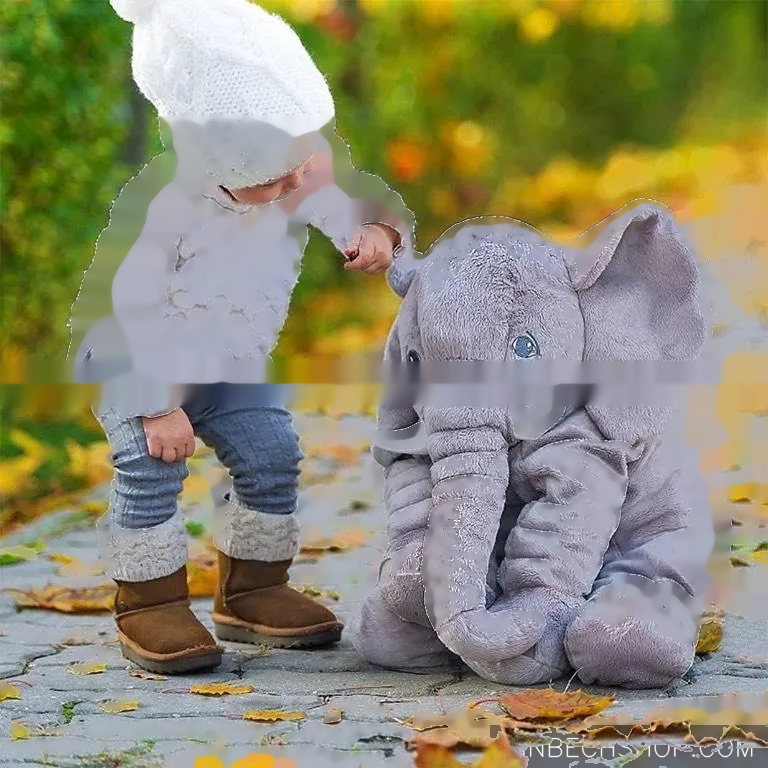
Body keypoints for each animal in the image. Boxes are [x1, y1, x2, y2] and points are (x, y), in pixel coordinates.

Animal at [350, 202, 716, 689]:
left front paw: (537, 616)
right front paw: (417, 574)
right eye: (413, 360)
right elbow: (407, 470)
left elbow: (568, 506)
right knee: (377, 634)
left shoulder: (591, 434)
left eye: (526, 348)